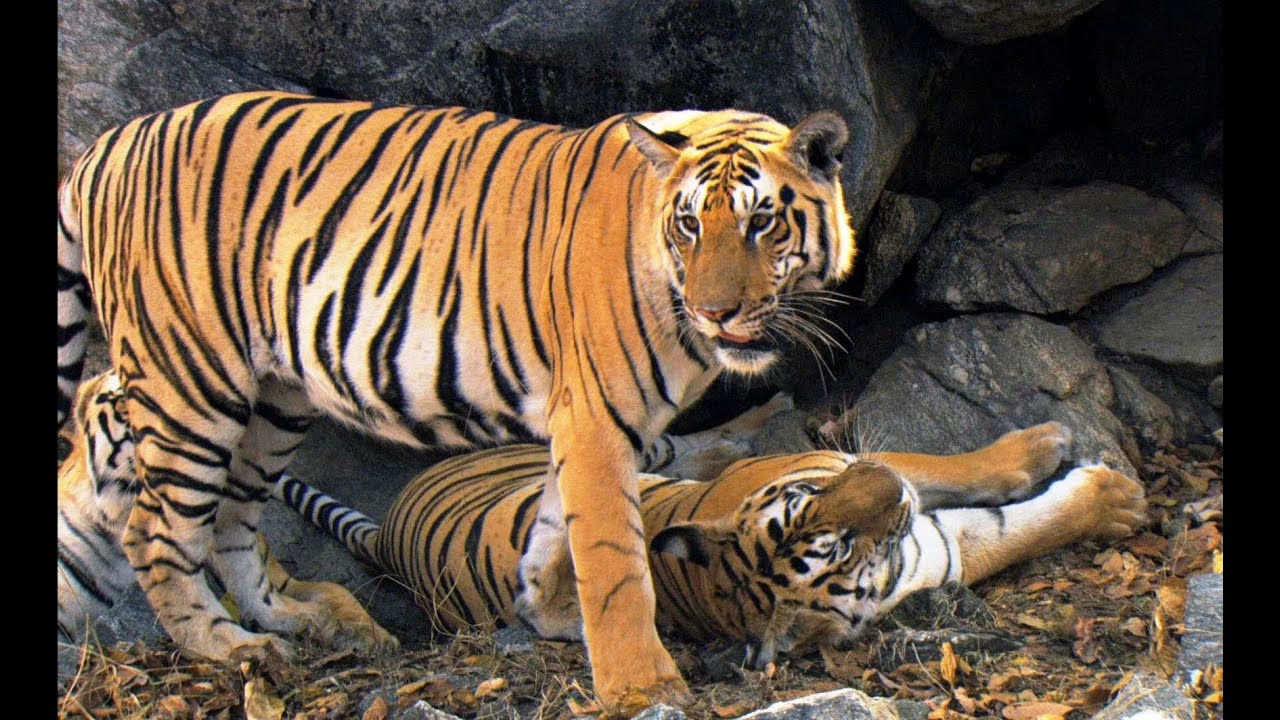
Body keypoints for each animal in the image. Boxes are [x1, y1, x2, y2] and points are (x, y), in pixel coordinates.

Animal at [56, 90, 868, 707]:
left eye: (762, 222)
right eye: (690, 224)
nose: (715, 312)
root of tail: (104, 146)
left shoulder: (589, 426)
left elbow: (553, 536)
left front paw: (548, 614)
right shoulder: (597, 420)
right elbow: (613, 560)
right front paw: (642, 686)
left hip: (275, 403)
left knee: (229, 525)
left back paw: (292, 624)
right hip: (191, 385)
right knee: (156, 533)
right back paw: (228, 649)